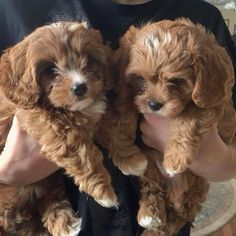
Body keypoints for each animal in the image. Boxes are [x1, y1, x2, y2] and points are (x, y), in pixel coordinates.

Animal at [0, 21, 116, 235]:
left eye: (89, 60)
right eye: (50, 69)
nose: (80, 87)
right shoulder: (48, 124)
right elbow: (81, 154)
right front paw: (104, 192)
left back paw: (64, 222)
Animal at [113, 18, 235, 234]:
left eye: (177, 81)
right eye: (140, 78)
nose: (154, 105)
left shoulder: (207, 103)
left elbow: (188, 118)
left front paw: (175, 159)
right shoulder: (132, 96)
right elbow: (125, 109)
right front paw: (125, 156)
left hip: (196, 186)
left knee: (179, 217)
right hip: (150, 167)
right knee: (152, 189)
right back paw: (150, 214)